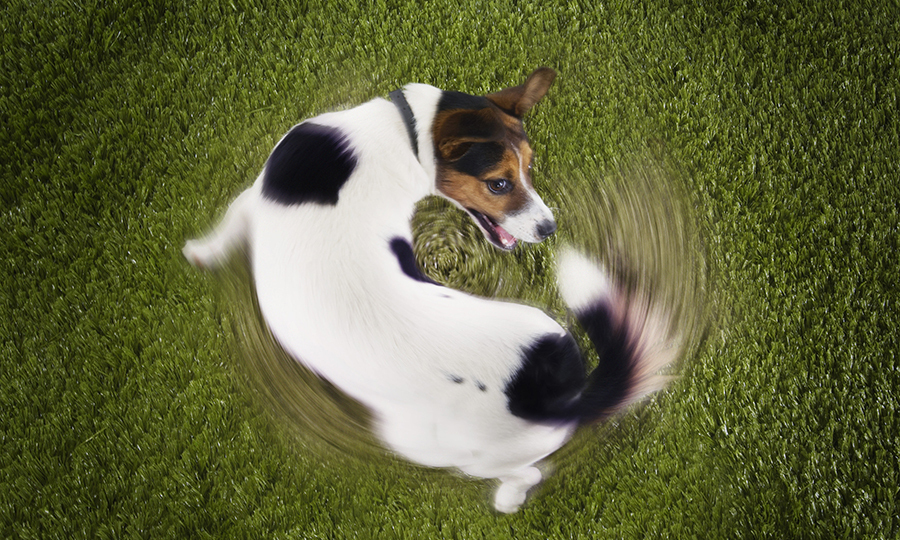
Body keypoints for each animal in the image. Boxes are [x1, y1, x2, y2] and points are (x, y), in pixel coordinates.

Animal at [183, 69, 676, 512]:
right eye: (500, 182)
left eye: (529, 170)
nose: (549, 228)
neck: (402, 135)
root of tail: (561, 393)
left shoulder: (252, 198)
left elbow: (225, 228)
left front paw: (199, 253)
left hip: (439, 447)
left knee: (527, 472)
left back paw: (507, 500)